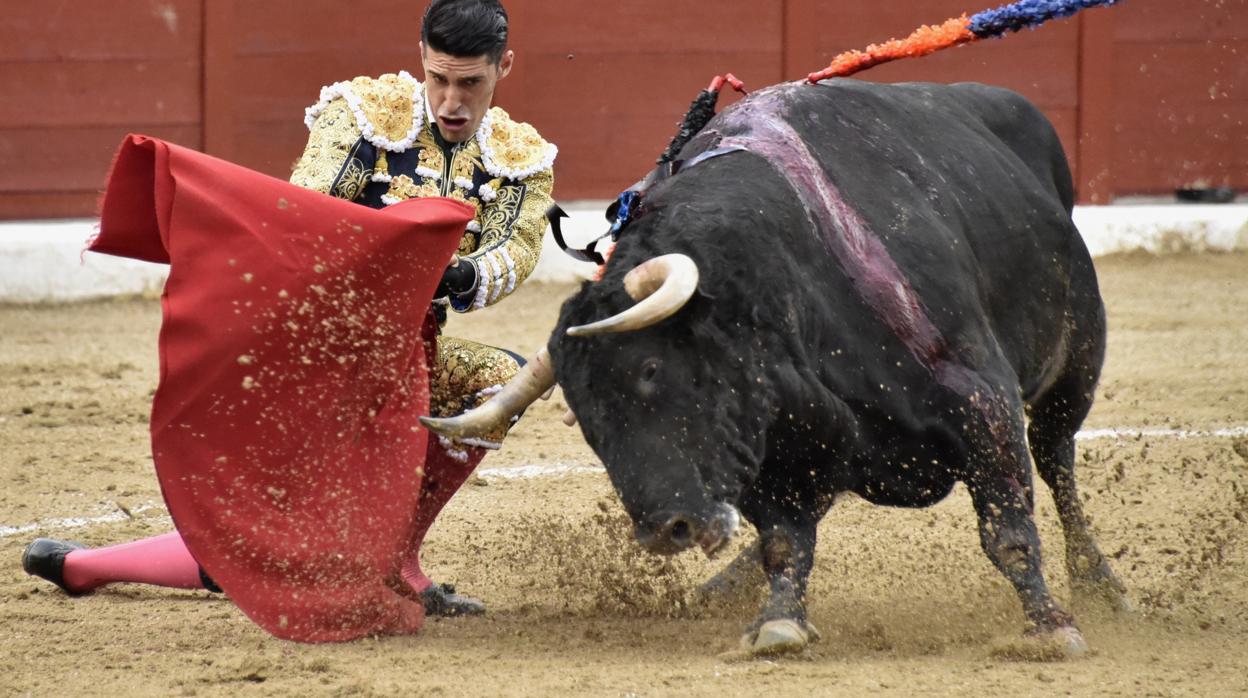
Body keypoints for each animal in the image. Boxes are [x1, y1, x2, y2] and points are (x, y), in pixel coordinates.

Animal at [434, 80, 1128, 654]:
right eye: (584, 420)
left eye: (651, 370)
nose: (665, 529)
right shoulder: (773, 453)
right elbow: (784, 540)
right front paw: (778, 623)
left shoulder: (982, 402)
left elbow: (1007, 530)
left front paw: (1051, 627)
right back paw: (724, 586)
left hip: (1075, 363)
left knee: (1057, 459)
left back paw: (1099, 583)